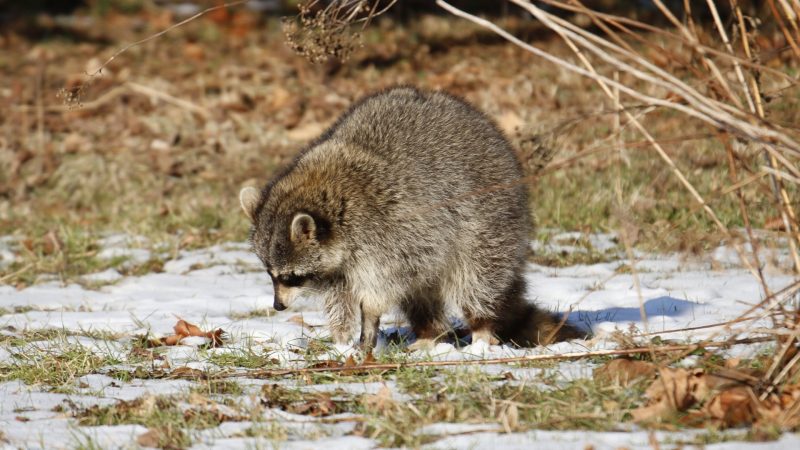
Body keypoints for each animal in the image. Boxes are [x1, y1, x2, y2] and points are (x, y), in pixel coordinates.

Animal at [241, 86, 584, 354]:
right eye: (271, 274)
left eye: (291, 277)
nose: (278, 306)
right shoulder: (339, 265)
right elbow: (341, 297)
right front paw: (343, 336)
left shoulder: (395, 232)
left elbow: (383, 286)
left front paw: (369, 319)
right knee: (421, 295)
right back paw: (430, 331)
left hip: (491, 217)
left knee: (478, 279)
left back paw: (481, 328)